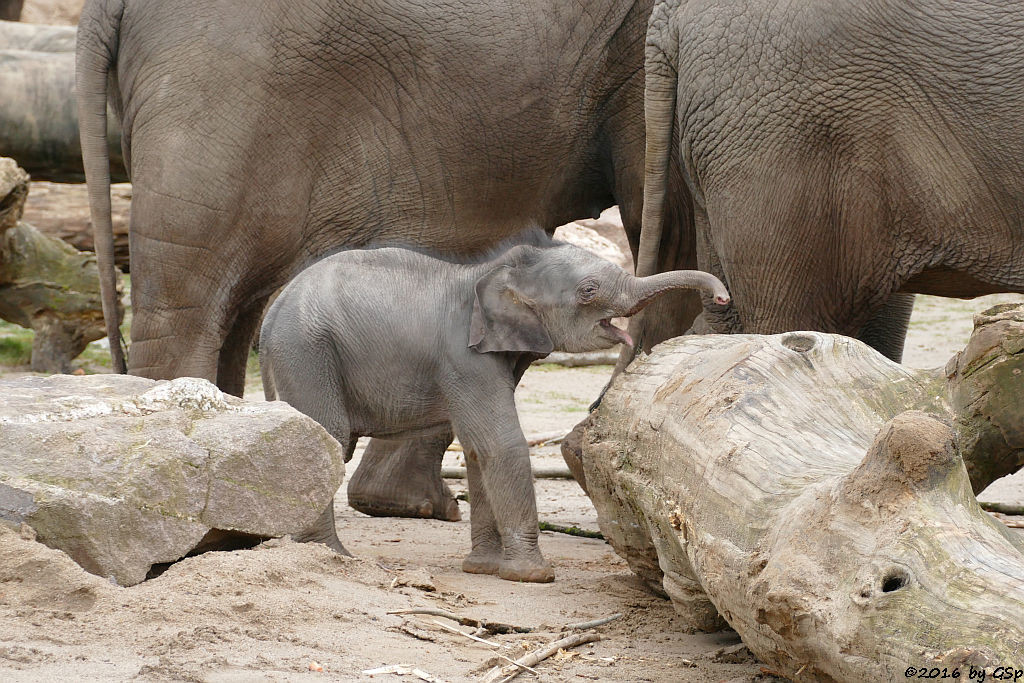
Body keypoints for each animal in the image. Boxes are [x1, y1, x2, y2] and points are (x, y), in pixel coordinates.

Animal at [262, 231, 729, 581]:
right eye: (588, 291)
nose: (723, 298)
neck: (493, 271)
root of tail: (272, 312)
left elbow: (476, 448)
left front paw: (483, 568)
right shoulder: (465, 358)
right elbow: (500, 443)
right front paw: (534, 576)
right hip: (307, 350)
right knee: (328, 438)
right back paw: (330, 556)